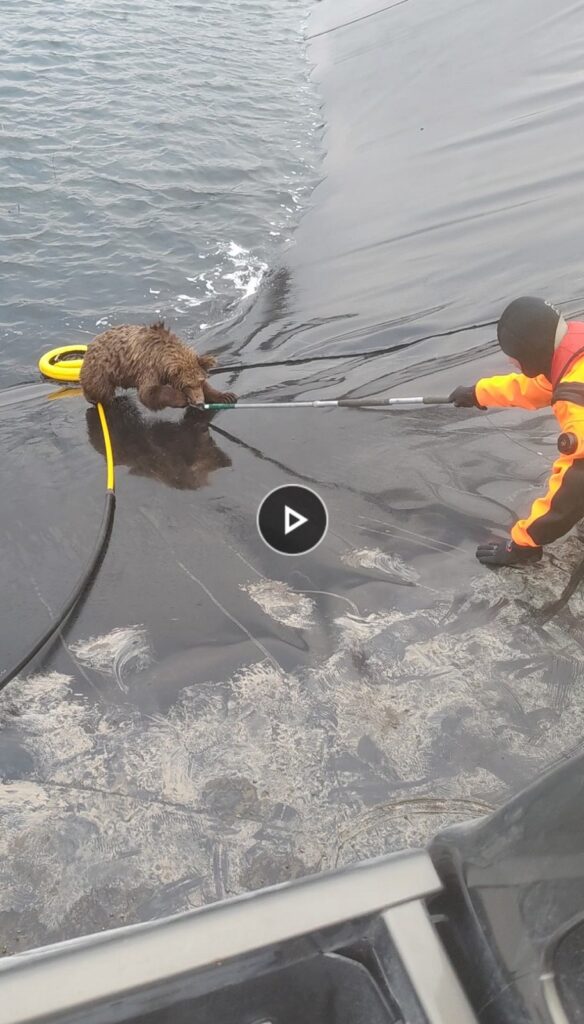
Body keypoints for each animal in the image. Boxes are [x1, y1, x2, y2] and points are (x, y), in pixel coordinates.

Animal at [79, 321, 237, 410]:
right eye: (187, 385)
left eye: (200, 381)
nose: (199, 402)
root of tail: (91, 343)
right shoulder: (148, 368)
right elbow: (148, 393)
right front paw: (180, 398)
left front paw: (226, 396)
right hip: (101, 371)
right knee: (101, 391)